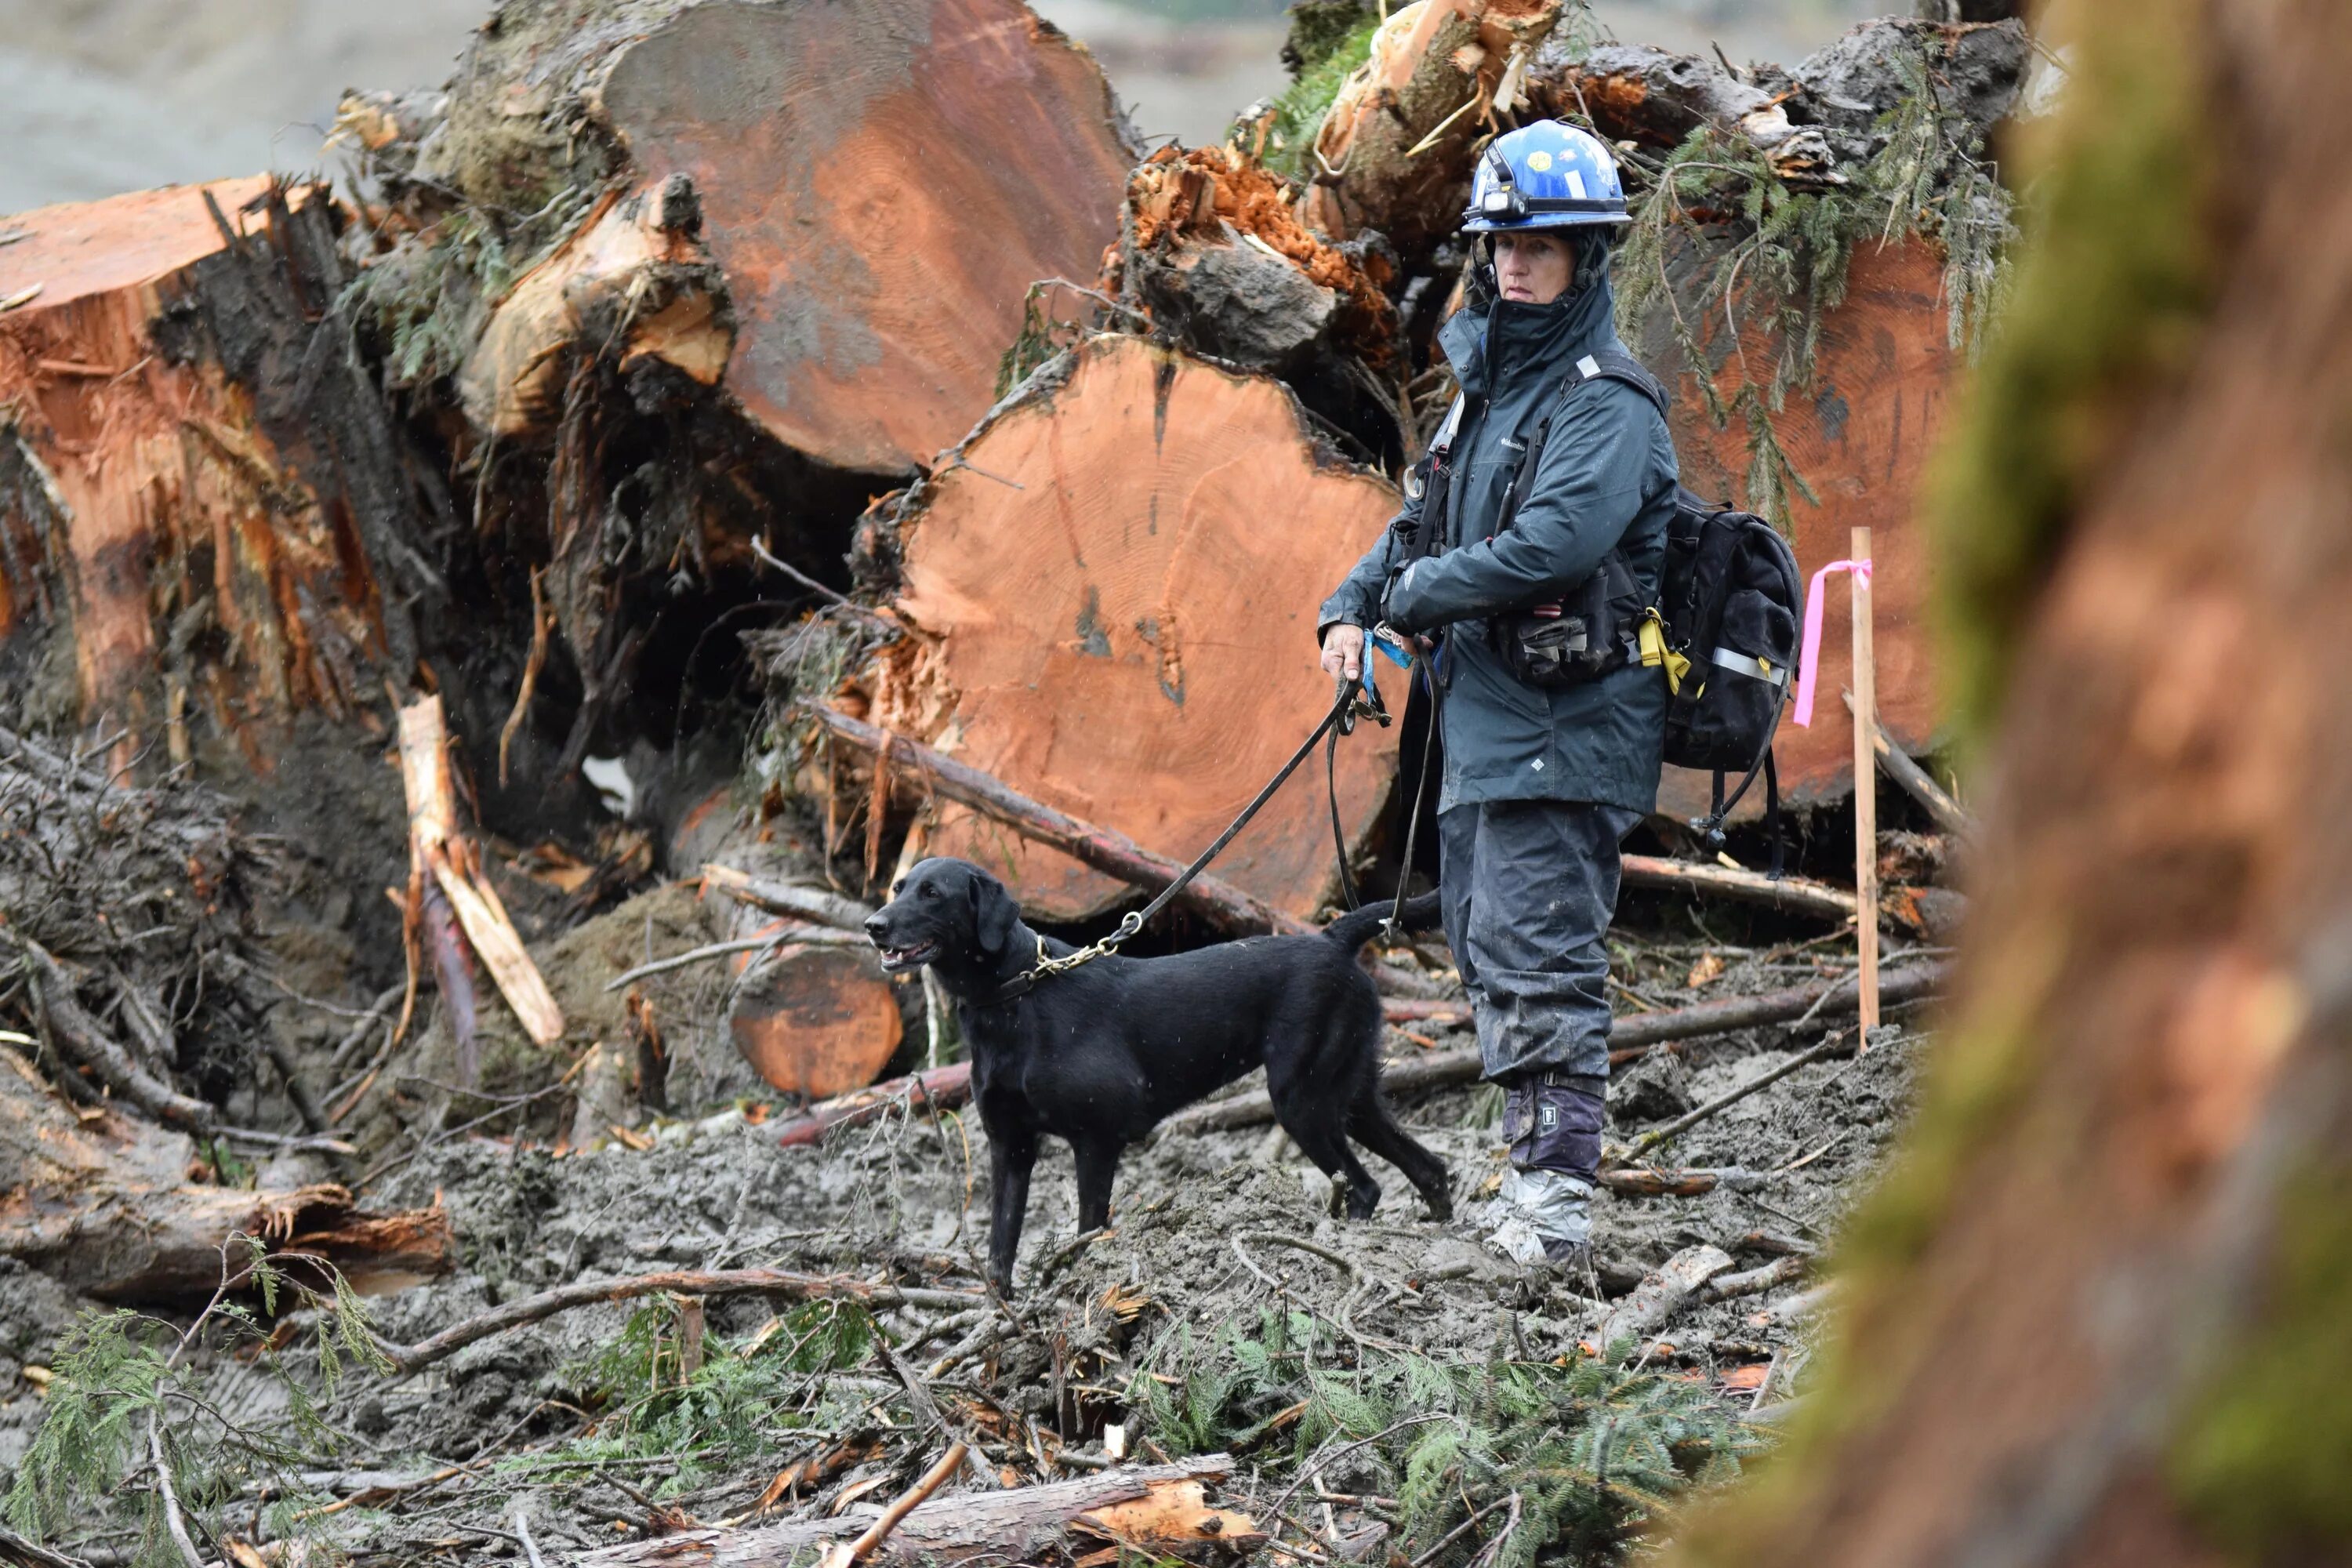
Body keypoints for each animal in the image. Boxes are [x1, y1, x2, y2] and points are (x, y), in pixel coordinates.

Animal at [866, 865, 1449, 1298]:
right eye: (898, 887)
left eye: (933, 893)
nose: (873, 925)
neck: (1018, 992)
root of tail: (1333, 938)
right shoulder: (1009, 1146)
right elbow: (999, 1250)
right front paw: (1003, 1316)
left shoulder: (1096, 1141)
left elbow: (1088, 1228)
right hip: (1350, 1095)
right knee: (1427, 1165)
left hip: (1301, 1102)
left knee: (1366, 1185)